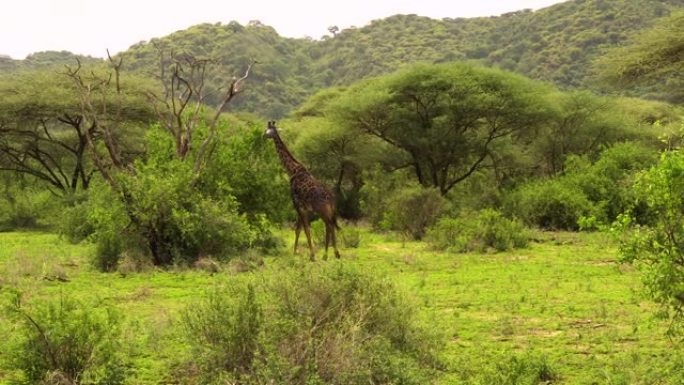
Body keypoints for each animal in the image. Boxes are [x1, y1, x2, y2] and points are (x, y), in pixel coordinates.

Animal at [268, 118, 342, 260]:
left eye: (268, 130)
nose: (264, 135)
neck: (292, 170)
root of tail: (332, 198)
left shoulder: (297, 204)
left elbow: (304, 229)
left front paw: (310, 255)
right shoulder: (304, 208)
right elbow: (300, 229)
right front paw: (296, 252)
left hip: (322, 210)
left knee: (329, 225)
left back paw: (327, 254)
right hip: (329, 210)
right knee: (331, 225)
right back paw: (334, 254)